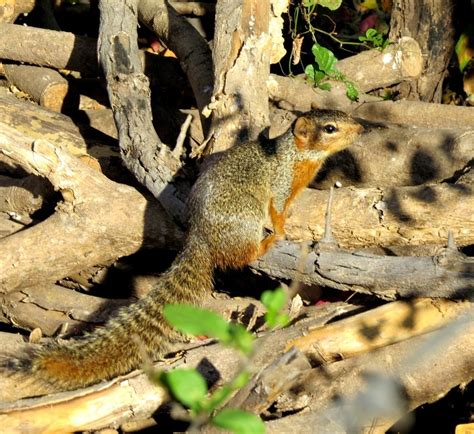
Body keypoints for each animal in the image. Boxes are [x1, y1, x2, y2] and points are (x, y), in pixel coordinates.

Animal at [3, 107, 364, 390]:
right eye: (330, 128)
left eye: (343, 116)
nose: (362, 126)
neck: (295, 157)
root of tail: (200, 238)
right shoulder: (279, 187)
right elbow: (277, 211)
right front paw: (281, 229)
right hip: (246, 218)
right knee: (239, 256)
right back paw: (264, 244)